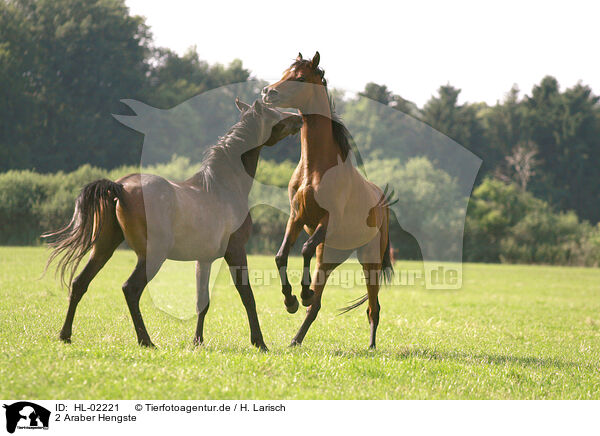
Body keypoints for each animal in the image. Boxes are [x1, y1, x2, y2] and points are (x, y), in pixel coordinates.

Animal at [44, 99, 302, 350]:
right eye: (274, 114)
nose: (299, 118)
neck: (222, 187)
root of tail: (120, 187)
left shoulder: (204, 260)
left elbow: (202, 302)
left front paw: (197, 342)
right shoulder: (236, 251)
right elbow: (247, 295)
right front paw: (260, 341)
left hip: (103, 248)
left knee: (79, 283)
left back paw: (65, 335)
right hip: (152, 256)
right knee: (130, 289)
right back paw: (146, 341)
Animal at [262, 52, 394, 350]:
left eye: (300, 78)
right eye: (284, 73)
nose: (268, 92)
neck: (315, 170)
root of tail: (382, 203)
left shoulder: (327, 220)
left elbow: (305, 249)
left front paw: (301, 294)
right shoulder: (296, 217)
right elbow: (281, 255)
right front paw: (290, 300)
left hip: (369, 260)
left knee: (373, 307)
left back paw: (371, 346)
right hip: (332, 255)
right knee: (318, 305)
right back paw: (296, 338)